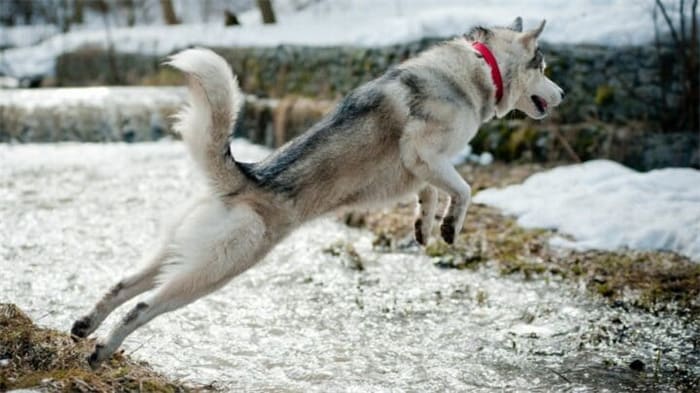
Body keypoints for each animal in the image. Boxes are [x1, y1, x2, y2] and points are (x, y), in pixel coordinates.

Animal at [71, 15, 564, 364]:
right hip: (219, 267)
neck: (480, 67)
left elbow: (430, 193)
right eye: (544, 67)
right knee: (142, 306)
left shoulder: (419, 168)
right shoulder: (424, 153)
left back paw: (85, 325)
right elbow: (464, 189)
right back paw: (104, 349)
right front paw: (449, 227)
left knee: (123, 284)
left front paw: (425, 227)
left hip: (181, 250)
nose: (561, 95)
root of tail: (247, 176)